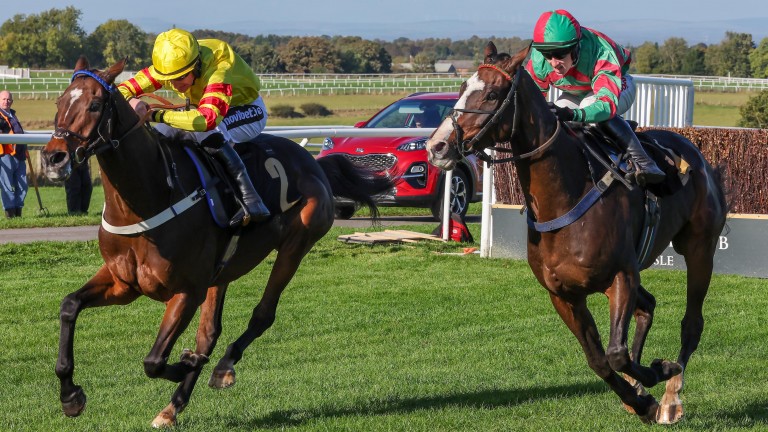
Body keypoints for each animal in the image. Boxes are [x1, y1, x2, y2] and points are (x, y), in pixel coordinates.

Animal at [39, 58, 392, 428]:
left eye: (94, 105)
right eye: (59, 102)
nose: (53, 159)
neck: (147, 198)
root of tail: (314, 163)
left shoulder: (186, 291)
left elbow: (154, 361)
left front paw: (186, 363)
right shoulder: (124, 283)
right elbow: (69, 306)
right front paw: (70, 396)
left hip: (295, 247)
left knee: (262, 315)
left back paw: (223, 366)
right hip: (220, 272)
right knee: (209, 332)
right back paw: (172, 407)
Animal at [426, 43, 728, 422]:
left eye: (493, 94)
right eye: (463, 86)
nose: (437, 146)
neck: (565, 195)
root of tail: (699, 157)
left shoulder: (621, 277)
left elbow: (616, 352)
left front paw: (661, 372)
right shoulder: (564, 294)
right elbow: (599, 360)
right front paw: (640, 399)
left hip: (700, 248)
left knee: (692, 323)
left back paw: (672, 394)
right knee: (648, 306)